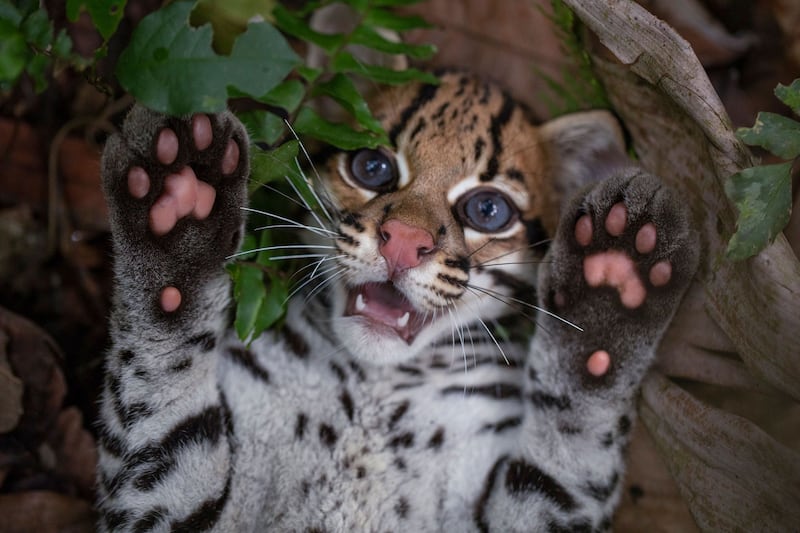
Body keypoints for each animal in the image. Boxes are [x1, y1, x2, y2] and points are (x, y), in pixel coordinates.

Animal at [97, 71, 696, 532]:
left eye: (488, 210)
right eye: (373, 167)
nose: (404, 242)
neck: (377, 388)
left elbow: (569, 453)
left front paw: (608, 297)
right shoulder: (154, 498)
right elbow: (160, 387)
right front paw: (177, 215)